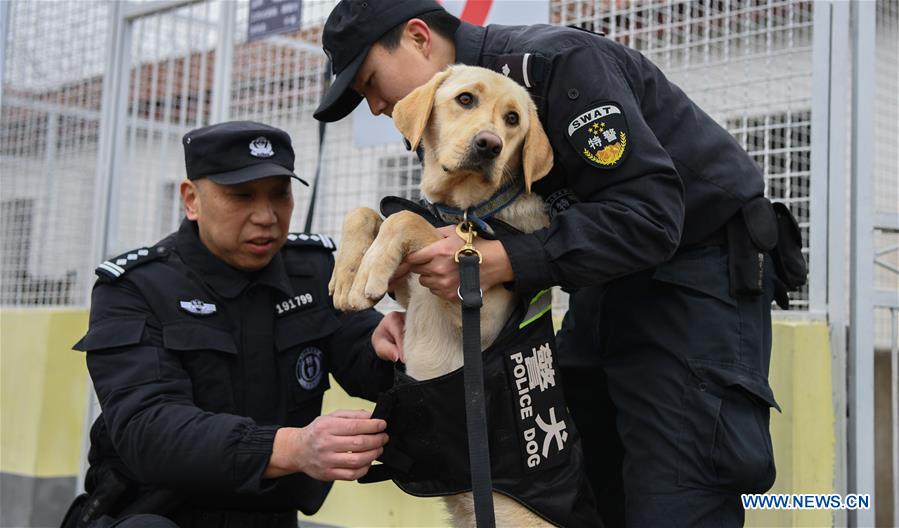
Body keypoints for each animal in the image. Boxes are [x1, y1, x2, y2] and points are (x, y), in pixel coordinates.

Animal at [330, 64, 556, 524]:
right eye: (465, 99)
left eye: (513, 120)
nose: (489, 145)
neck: (466, 213)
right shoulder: (411, 288)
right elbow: (366, 212)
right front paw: (348, 274)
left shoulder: (481, 312)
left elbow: (406, 221)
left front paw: (368, 271)